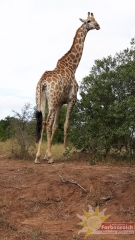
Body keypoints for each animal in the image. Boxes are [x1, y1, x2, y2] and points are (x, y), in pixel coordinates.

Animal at [34, 12, 100, 163]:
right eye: (89, 21)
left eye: (95, 19)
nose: (98, 26)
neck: (72, 67)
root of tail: (43, 82)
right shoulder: (72, 100)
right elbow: (66, 125)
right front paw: (64, 153)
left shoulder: (60, 103)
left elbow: (55, 126)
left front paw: (46, 154)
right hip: (51, 101)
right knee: (47, 122)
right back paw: (49, 157)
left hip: (42, 100)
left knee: (43, 121)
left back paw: (38, 156)